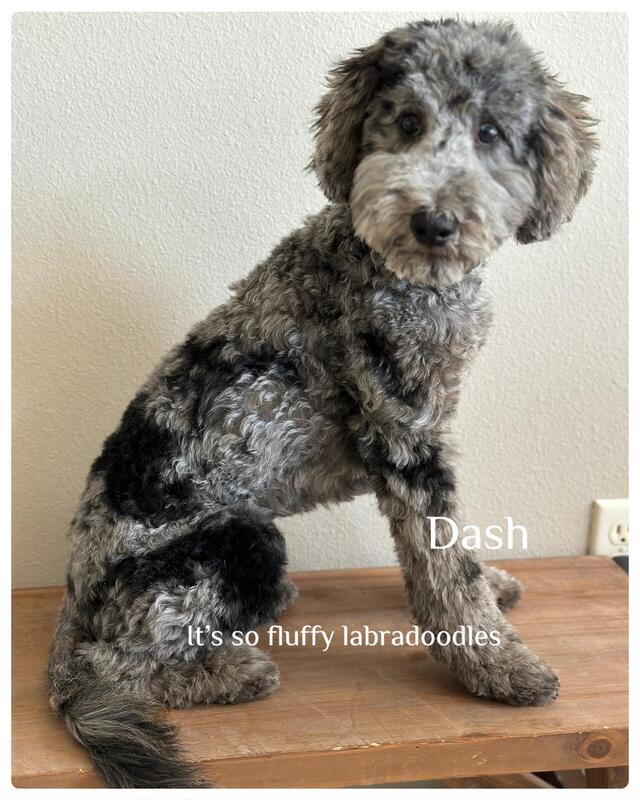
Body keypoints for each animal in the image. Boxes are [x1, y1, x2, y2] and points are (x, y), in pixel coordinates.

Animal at [47, 18, 597, 788]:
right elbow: (444, 568)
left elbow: (446, 558)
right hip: (236, 542)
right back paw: (230, 672)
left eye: (490, 131)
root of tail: (73, 597)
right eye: (407, 121)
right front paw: (498, 666)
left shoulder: (429, 429)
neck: (396, 269)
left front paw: (490, 588)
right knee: (117, 667)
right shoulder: (405, 437)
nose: (434, 221)